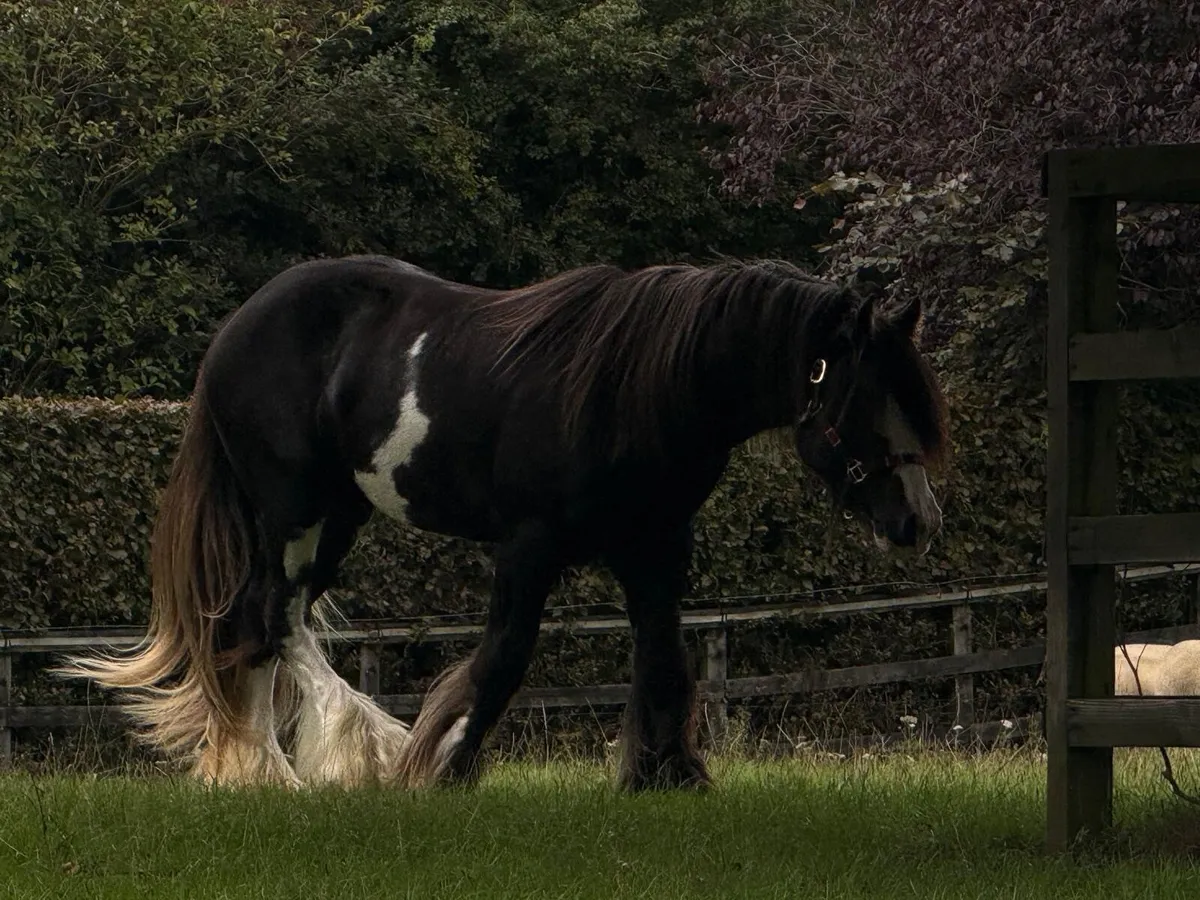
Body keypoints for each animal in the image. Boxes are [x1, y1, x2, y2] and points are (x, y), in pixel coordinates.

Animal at [59, 255, 949, 791]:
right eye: (866, 397)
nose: (918, 521)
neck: (640, 389)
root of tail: (234, 333)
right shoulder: (530, 547)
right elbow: (503, 661)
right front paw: (444, 768)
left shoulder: (655, 547)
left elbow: (663, 662)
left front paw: (667, 777)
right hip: (293, 509)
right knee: (272, 621)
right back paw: (322, 759)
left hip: (337, 515)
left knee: (265, 628)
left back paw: (261, 771)